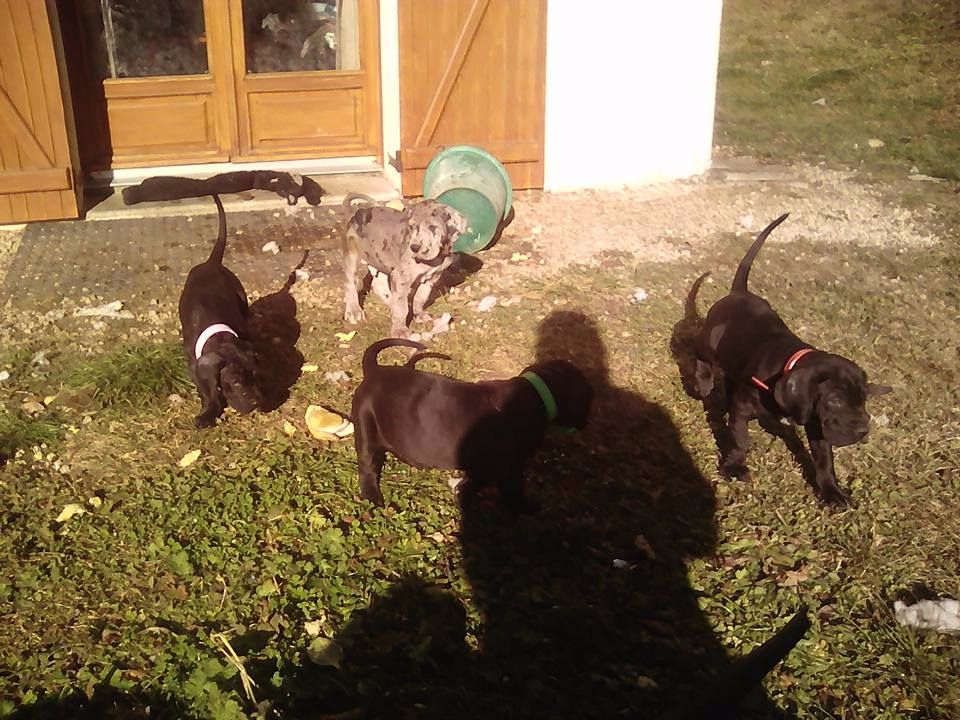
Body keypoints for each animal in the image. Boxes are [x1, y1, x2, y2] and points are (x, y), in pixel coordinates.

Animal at [178, 195, 263, 427]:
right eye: (235, 381)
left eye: (255, 374)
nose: (256, 403)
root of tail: (211, 263)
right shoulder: (195, 367)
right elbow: (207, 391)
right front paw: (209, 411)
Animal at [341, 194, 468, 337]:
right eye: (412, 227)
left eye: (432, 227)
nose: (414, 247)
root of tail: (355, 213)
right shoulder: (402, 277)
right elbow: (401, 308)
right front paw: (400, 330)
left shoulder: (430, 279)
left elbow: (420, 298)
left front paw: (420, 315)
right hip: (352, 256)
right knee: (350, 283)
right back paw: (354, 311)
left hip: (380, 260)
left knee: (378, 284)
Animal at [351, 338, 592, 512]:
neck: (536, 394)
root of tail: (375, 370)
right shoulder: (510, 467)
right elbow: (511, 491)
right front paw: (524, 507)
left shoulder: (483, 466)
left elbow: (471, 484)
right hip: (365, 426)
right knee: (367, 466)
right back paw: (372, 496)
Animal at [690, 213, 890, 506]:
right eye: (836, 400)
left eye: (863, 399)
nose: (863, 431)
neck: (788, 364)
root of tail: (740, 292)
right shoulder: (743, 410)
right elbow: (740, 440)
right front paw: (735, 466)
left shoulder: (817, 423)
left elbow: (824, 460)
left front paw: (831, 491)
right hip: (710, 342)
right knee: (699, 353)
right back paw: (703, 382)